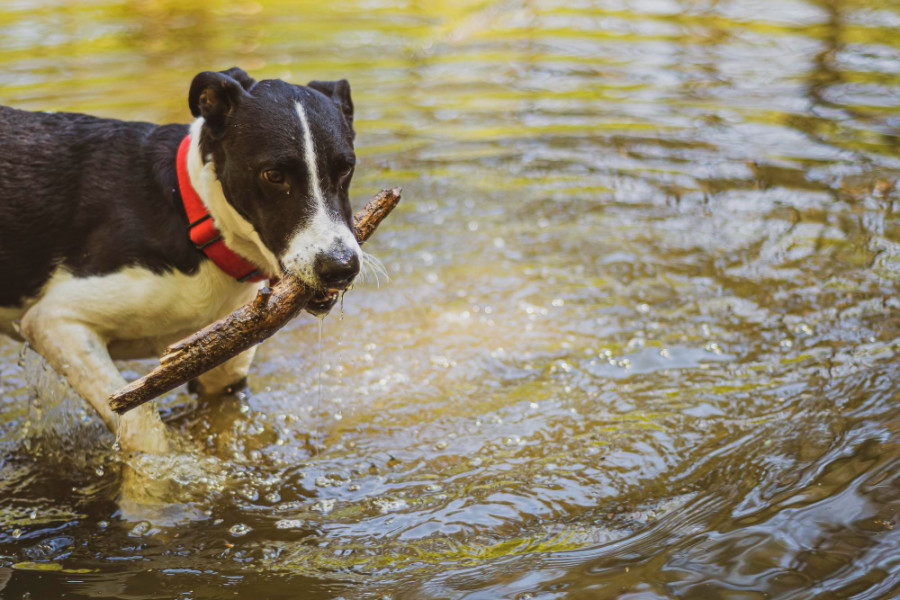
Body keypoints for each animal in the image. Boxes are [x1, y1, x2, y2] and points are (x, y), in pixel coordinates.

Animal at [3, 68, 364, 452]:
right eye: (274, 175)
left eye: (346, 169)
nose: (341, 267)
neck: (195, 214)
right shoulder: (55, 323)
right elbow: (145, 429)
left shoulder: (219, 371)